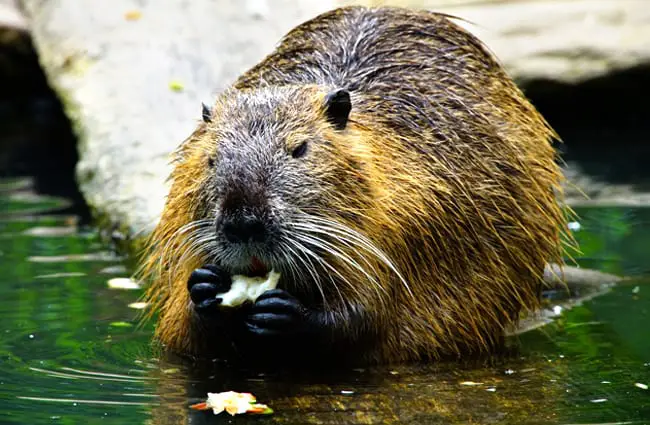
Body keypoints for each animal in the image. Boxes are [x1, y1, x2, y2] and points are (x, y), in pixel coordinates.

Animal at [138, 4, 568, 366]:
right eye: (211, 157)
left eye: (299, 148)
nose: (243, 223)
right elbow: (182, 335)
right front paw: (204, 288)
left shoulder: (409, 219)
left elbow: (370, 315)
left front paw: (285, 312)